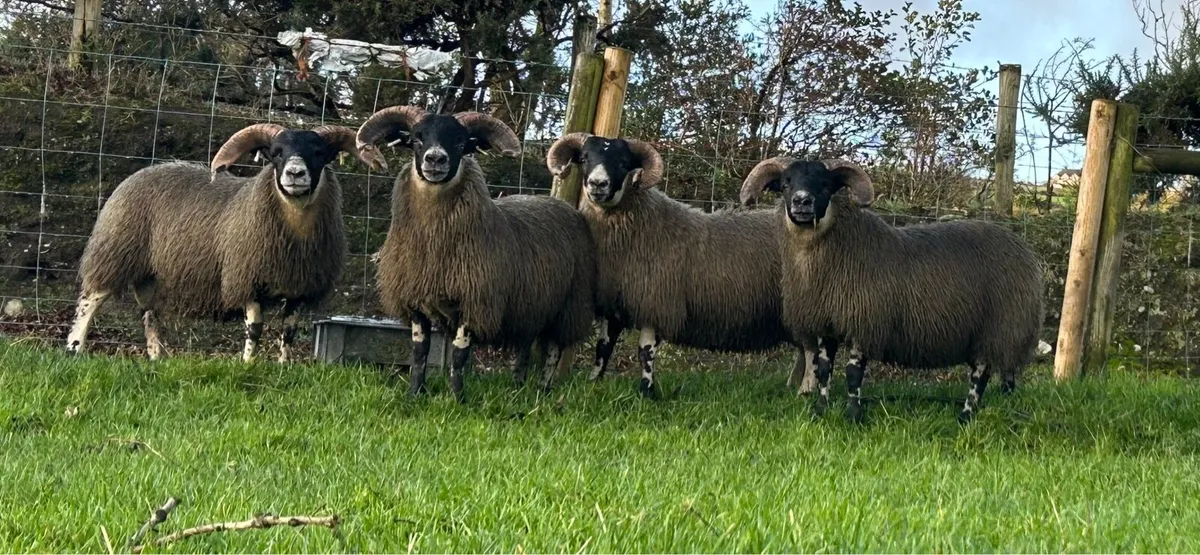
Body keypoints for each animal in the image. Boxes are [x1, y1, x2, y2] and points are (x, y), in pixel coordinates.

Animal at [66, 123, 372, 363]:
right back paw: (74, 349)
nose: (295, 174)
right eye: (276, 153)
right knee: (89, 302)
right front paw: (248, 364)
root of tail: (144, 171)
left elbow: (289, 332)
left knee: (150, 316)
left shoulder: (300, 287)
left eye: (319, 153)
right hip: (115, 251)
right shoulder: (245, 277)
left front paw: (285, 366)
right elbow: (255, 328)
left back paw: (157, 358)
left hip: (149, 275)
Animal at [354, 105, 597, 401]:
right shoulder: (415, 301)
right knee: (525, 346)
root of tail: (565, 206)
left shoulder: (475, 299)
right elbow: (419, 352)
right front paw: (415, 393)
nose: (435, 159)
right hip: (531, 303)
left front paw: (456, 398)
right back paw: (518, 386)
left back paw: (543, 389)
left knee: (552, 349)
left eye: (461, 143)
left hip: (568, 305)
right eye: (416, 139)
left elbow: (459, 355)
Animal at [545, 133, 815, 398]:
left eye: (623, 163)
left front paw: (647, 392)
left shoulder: (657, 303)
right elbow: (603, 348)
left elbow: (645, 352)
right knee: (804, 351)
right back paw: (794, 388)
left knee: (811, 351)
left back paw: (806, 392)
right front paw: (593, 383)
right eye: (584, 158)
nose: (598, 184)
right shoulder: (616, 303)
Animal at [740, 157, 1044, 423]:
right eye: (786, 183)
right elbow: (824, 370)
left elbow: (853, 373)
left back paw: (965, 417)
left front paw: (854, 416)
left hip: (1001, 325)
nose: (802, 201)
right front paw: (821, 411)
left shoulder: (865, 320)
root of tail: (1025, 251)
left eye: (826, 186)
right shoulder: (828, 323)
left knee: (980, 375)